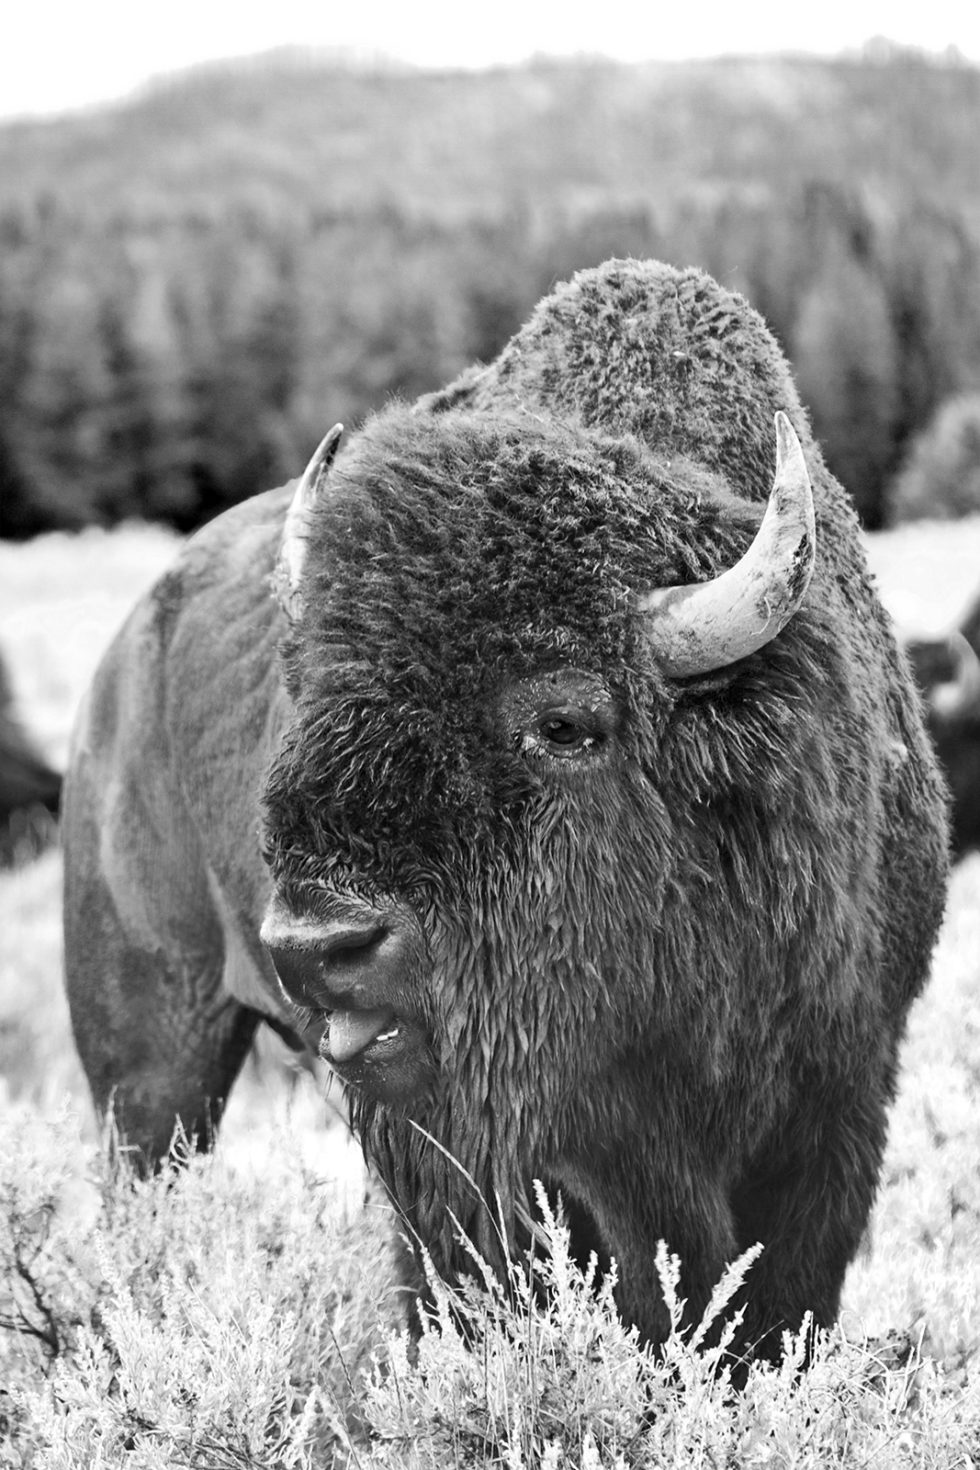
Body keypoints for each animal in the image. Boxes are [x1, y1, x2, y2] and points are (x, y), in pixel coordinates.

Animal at [63, 258, 952, 1370]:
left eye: (563, 722)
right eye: (306, 698)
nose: (317, 943)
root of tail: (122, 658)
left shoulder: (838, 1099)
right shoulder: (475, 1155)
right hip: (152, 1057)